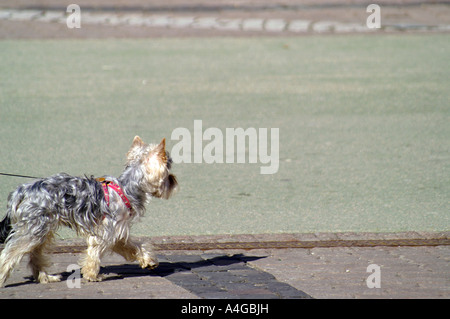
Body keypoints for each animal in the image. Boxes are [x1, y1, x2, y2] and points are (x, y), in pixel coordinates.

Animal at [0, 137, 179, 288]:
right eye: (167, 171)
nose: (174, 181)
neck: (126, 189)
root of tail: (20, 192)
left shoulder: (118, 232)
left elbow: (135, 245)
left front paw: (148, 260)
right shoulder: (106, 232)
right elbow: (94, 253)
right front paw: (92, 275)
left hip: (42, 230)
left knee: (35, 256)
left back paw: (46, 278)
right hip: (32, 230)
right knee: (9, 254)